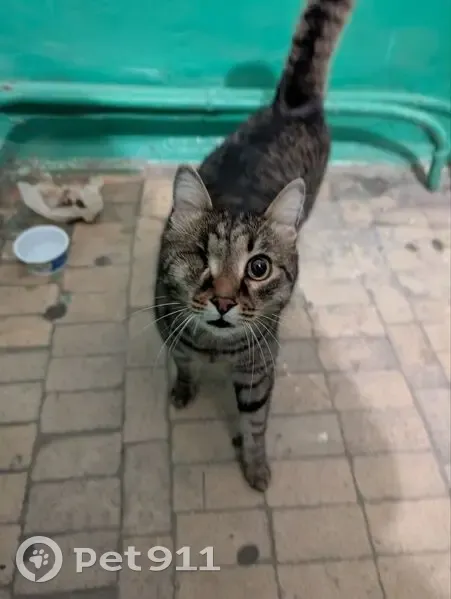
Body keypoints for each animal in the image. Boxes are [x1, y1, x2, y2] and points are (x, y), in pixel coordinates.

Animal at [154, 0, 355, 491]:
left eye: (258, 268)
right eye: (200, 257)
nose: (224, 301)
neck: (214, 348)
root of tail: (292, 106)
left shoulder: (258, 372)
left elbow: (256, 424)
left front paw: (255, 464)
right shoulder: (170, 332)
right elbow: (183, 363)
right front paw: (184, 388)